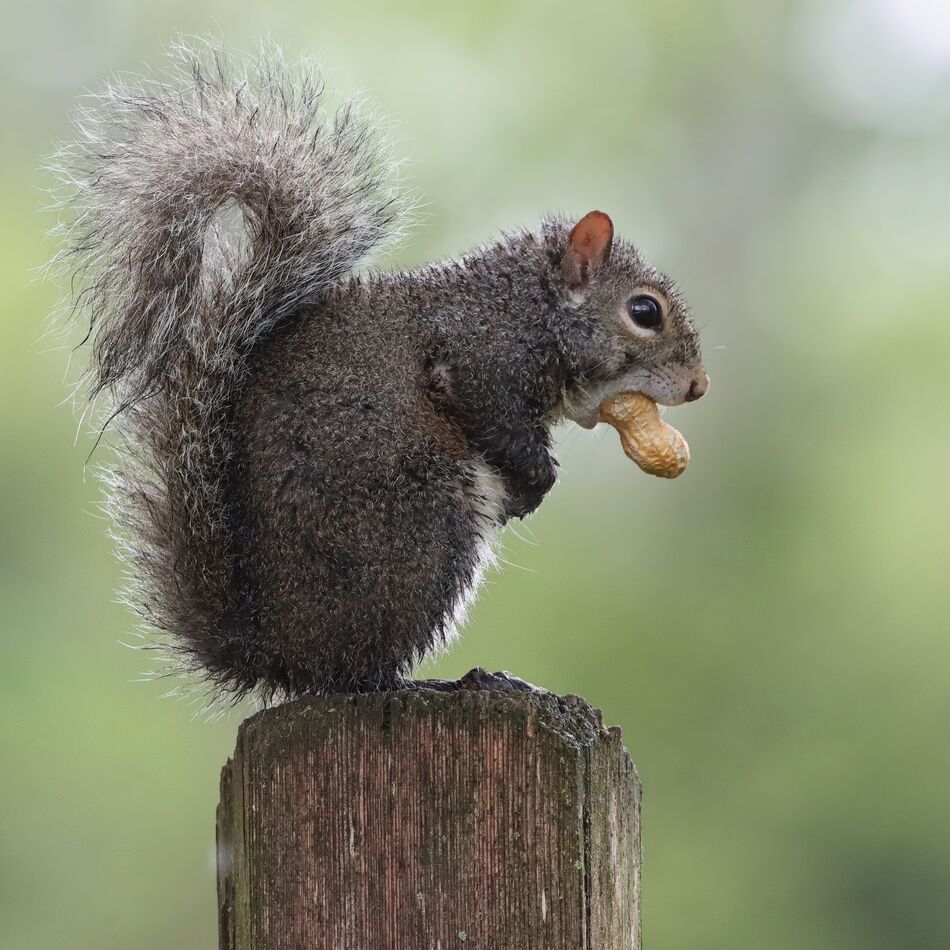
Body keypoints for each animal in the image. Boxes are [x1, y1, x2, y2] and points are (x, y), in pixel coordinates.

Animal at [53, 43, 707, 701]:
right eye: (645, 312)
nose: (698, 386)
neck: (528, 304)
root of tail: (275, 653)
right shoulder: (478, 358)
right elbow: (497, 420)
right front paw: (535, 481)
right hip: (422, 526)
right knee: (359, 672)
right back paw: (433, 683)